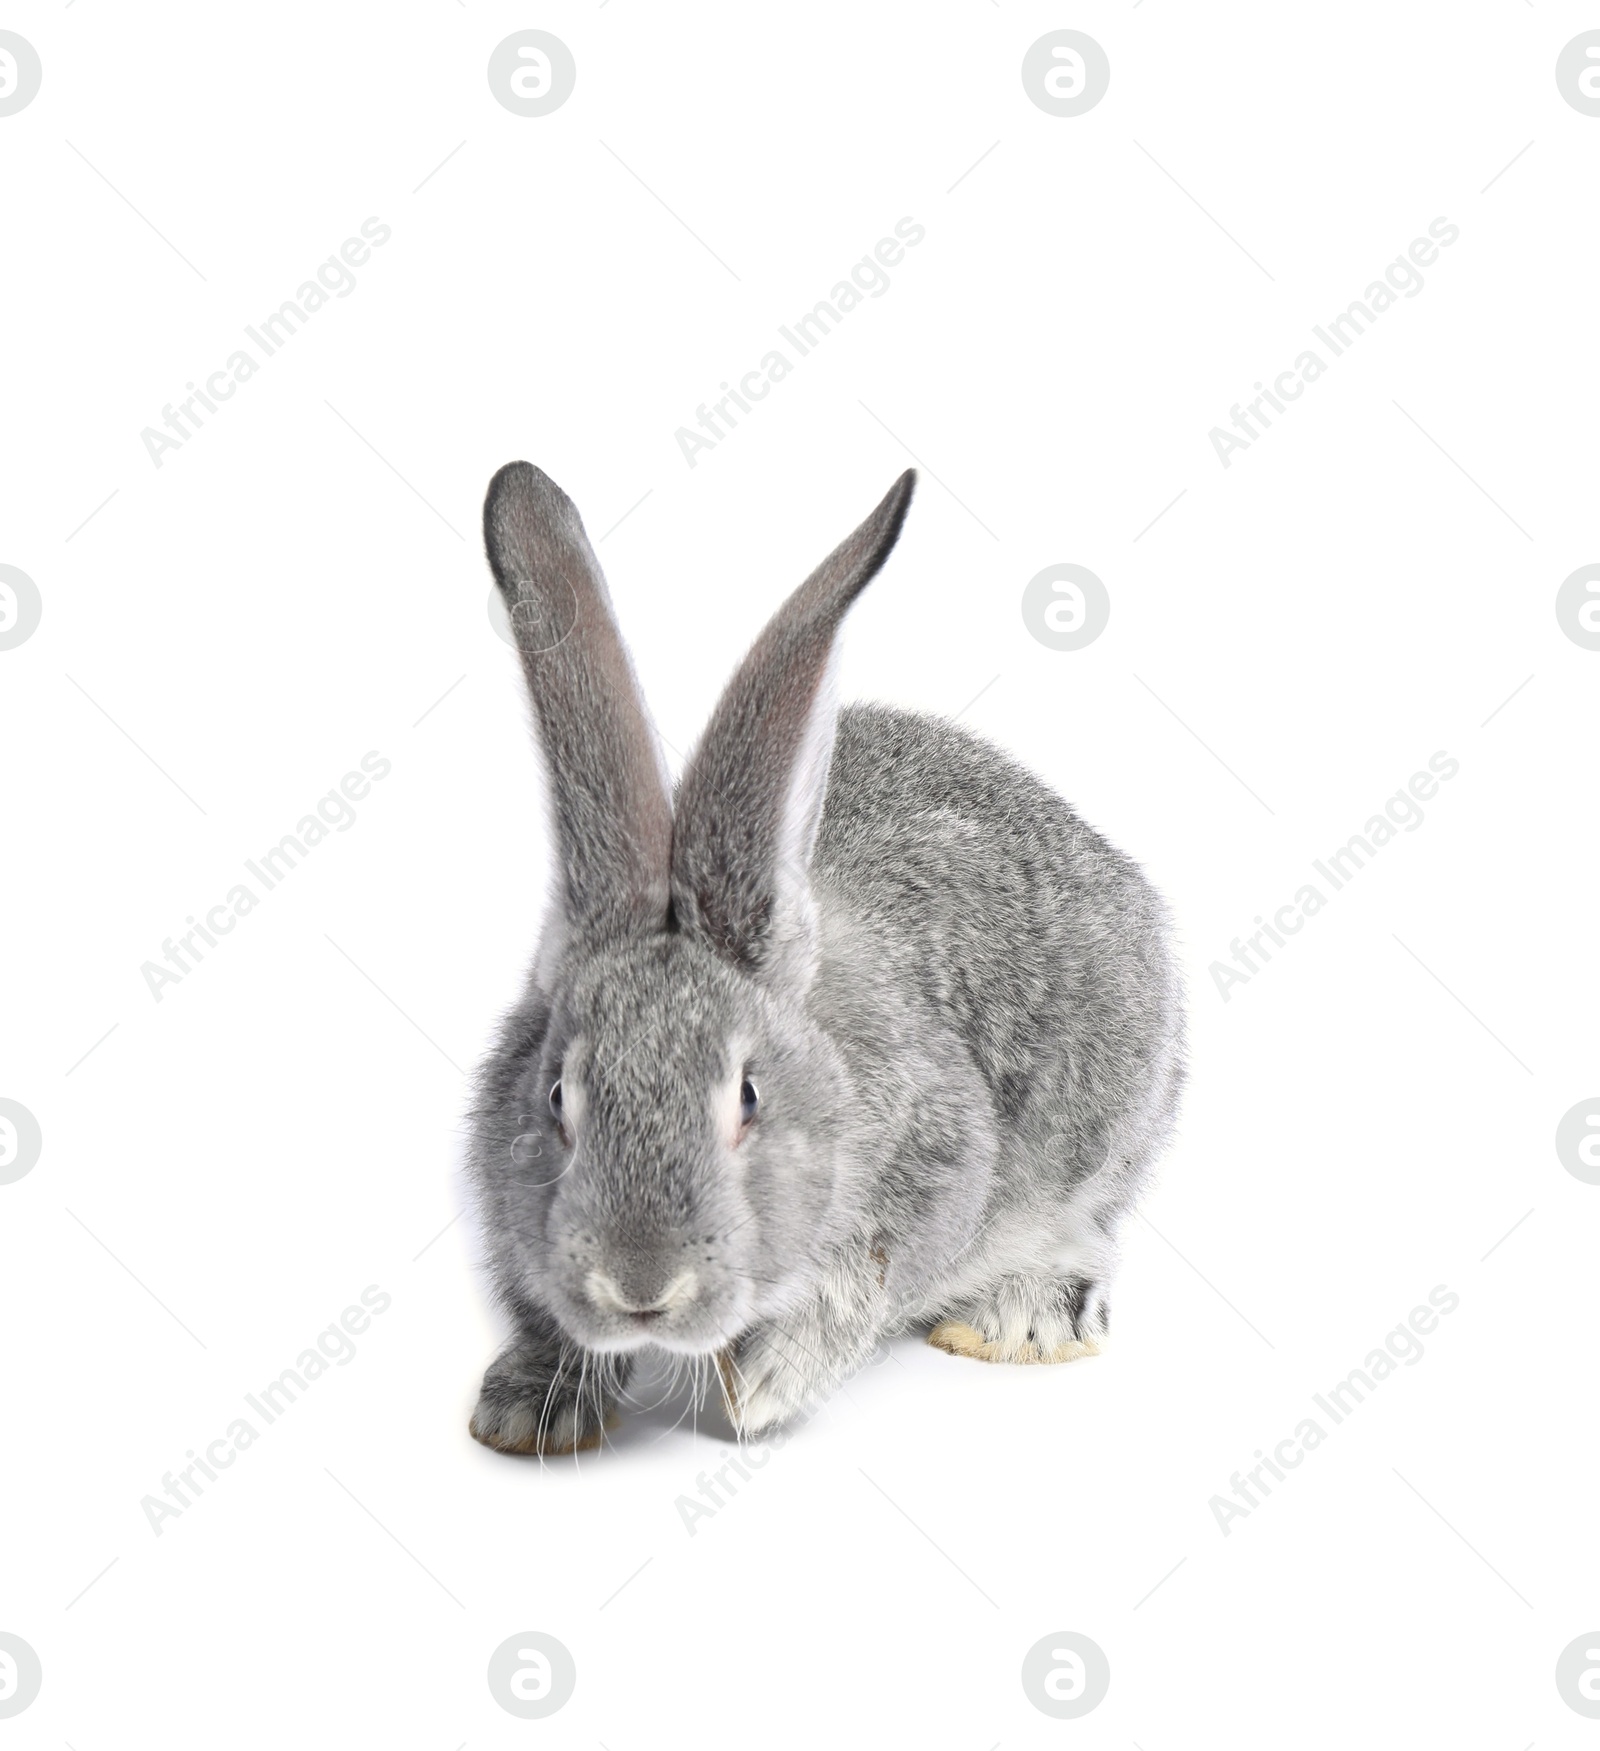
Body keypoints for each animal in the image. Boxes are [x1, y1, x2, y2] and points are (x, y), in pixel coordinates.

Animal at [465, 462, 1183, 1449]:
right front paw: (530, 1405)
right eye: (556, 1096)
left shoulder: (935, 1163)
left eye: (748, 1098)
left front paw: (766, 1381)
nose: (642, 1285)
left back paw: (1023, 1318)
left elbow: (860, 1282)